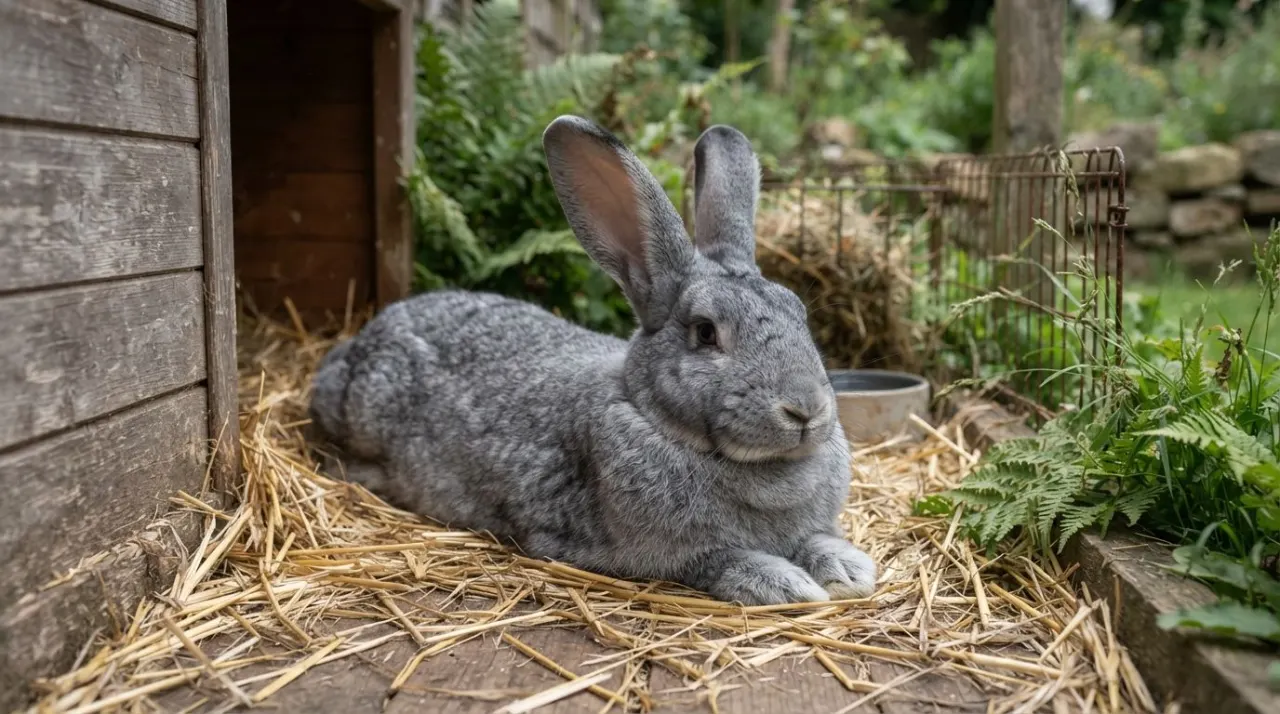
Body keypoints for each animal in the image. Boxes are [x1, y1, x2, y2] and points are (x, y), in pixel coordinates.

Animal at [308, 116, 877, 606]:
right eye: (705, 332)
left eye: (799, 313)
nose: (805, 410)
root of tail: (362, 339)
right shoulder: (647, 554)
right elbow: (717, 560)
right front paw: (787, 585)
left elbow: (818, 539)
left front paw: (849, 570)